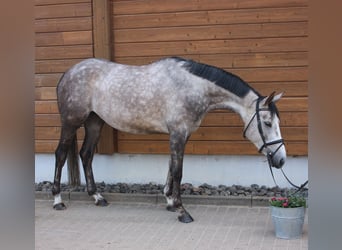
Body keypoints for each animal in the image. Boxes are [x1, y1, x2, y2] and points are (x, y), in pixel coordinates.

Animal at [52, 56, 284, 223]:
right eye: (267, 123)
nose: (280, 160)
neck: (191, 87)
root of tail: (68, 73)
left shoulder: (182, 134)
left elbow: (172, 167)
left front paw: (170, 202)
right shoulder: (178, 133)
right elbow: (178, 172)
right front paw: (182, 211)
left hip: (94, 122)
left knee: (86, 154)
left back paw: (97, 197)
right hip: (71, 122)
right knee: (61, 155)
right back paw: (57, 200)